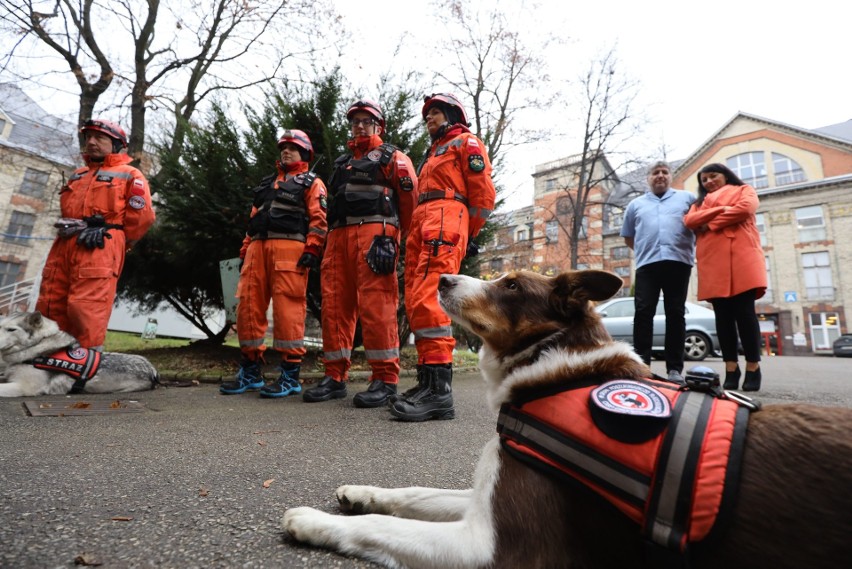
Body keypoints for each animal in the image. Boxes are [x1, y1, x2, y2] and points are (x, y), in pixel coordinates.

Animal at [282, 268, 852, 564]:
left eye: (511, 285)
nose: (442, 275)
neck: (556, 367)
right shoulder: (483, 497)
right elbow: (412, 495)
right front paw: (358, 493)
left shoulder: (490, 547)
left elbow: (377, 527)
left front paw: (310, 521)